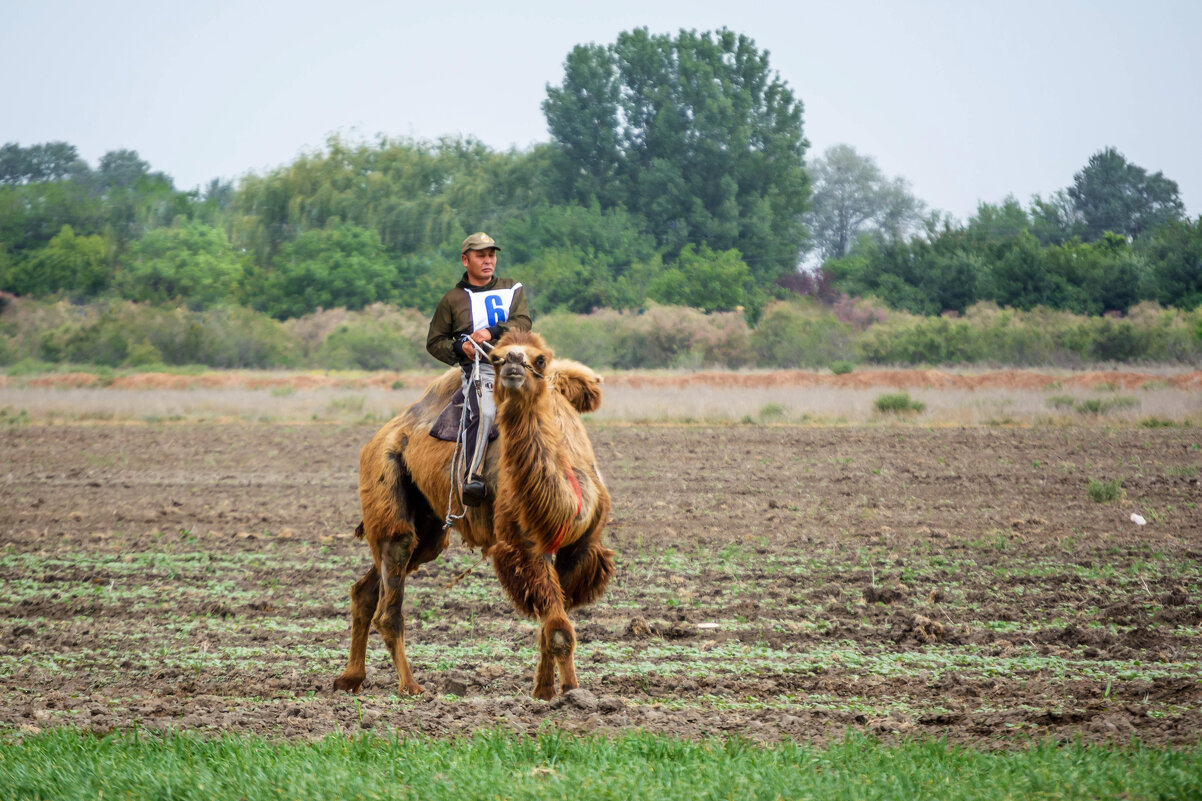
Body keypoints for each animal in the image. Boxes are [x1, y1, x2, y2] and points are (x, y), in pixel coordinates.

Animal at [334, 327, 615, 697]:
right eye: (494, 358)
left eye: (540, 359)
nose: (512, 363)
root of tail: (383, 434)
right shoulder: (525, 546)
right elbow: (557, 630)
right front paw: (569, 692)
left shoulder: (579, 550)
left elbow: (551, 625)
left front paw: (544, 692)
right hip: (386, 479)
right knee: (391, 596)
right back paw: (411, 686)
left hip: (429, 528)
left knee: (368, 589)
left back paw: (350, 678)